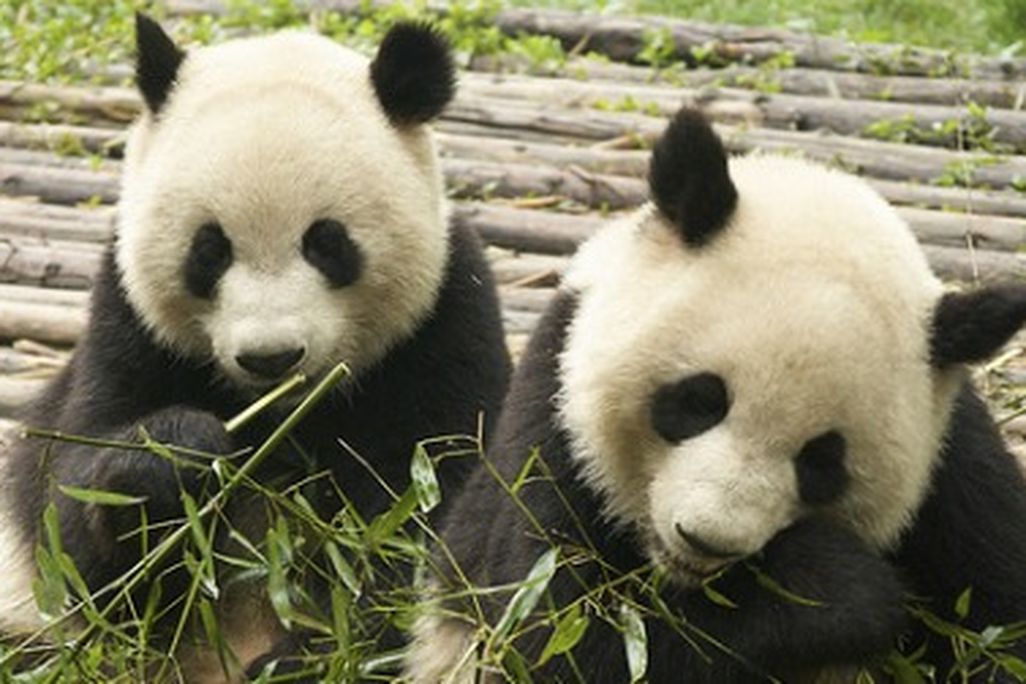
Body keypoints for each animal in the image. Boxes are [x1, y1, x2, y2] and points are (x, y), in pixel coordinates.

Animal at [0, 13, 510, 681]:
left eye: (327, 243)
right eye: (209, 250)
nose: (272, 358)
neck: (282, 417)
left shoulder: (443, 327)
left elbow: (422, 530)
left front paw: (305, 658)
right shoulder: (127, 325)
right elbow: (77, 532)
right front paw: (176, 455)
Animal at [407, 108, 1026, 682]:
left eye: (822, 463)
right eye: (698, 402)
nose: (706, 539)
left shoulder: (956, 468)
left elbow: (1000, 611)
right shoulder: (554, 427)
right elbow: (562, 633)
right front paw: (832, 584)